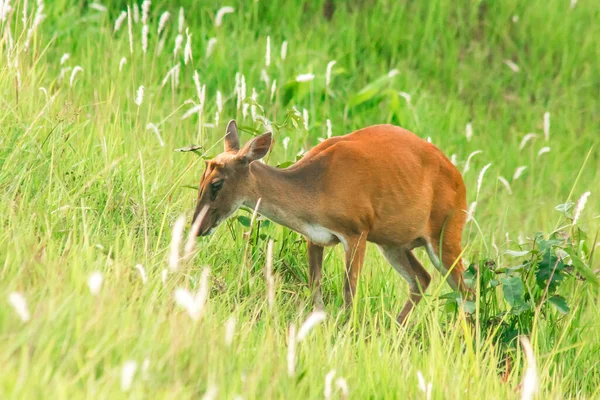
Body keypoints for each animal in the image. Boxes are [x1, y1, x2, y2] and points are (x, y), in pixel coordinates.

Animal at [192, 120, 468, 324]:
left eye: (217, 184)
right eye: (201, 179)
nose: (197, 228)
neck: (316, 189)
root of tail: (460, 181)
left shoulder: (357, 229)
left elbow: (349, 291)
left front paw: (348, 330)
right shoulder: (314, 236)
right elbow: (315, 286)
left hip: (447, 232)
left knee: (465, 290)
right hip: (393, 243)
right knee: (422, 278)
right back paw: (396, 329)